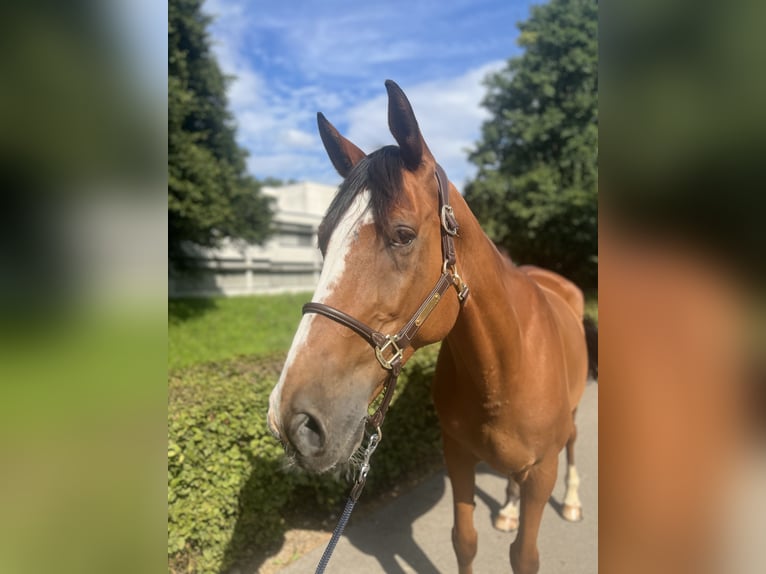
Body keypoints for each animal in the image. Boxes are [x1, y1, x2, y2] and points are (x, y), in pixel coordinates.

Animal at [268, 81, 596, 574]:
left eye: (402, 234)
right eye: (323, 241)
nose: (293, 419)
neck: (506, 368)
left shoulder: (541, 471)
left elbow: (525, 556)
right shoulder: (457, 457)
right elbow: (465, 540)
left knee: (574, 443)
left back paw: (573, 502)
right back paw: (508, 508)